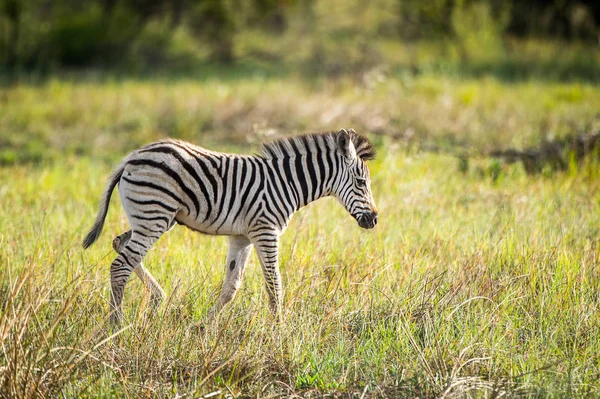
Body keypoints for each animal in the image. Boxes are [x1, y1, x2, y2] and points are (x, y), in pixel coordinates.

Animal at [82, 130, 378, 326]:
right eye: (362, 182)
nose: (374, 220)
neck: (286, 183)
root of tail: (132, 157)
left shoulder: (241, 237)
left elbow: (231, 287)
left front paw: (203, 327)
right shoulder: (265, 231)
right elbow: (274, 284)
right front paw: (279, 330)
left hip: (151, 218)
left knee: (120, 244)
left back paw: (157, 298)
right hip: (153, 216)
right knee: (120, 266)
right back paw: (116, 325)